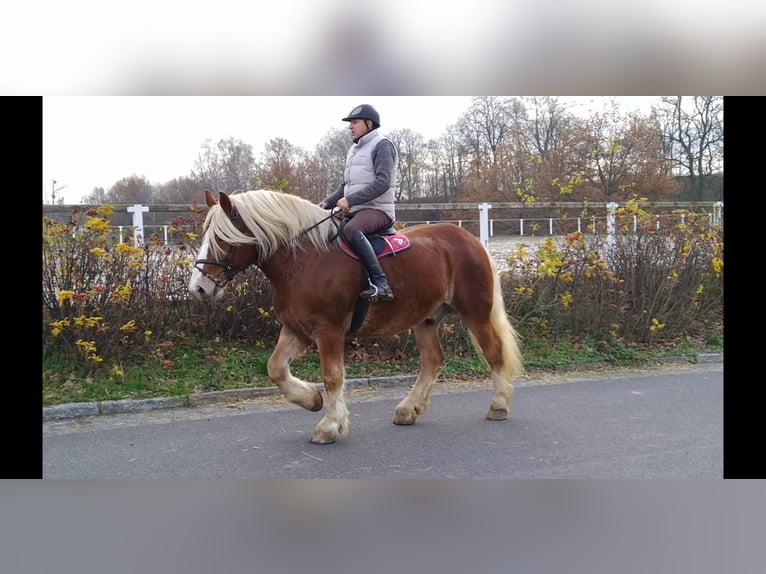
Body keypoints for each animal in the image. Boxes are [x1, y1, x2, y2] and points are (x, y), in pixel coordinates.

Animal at [190, 189, 528, 446]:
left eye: (223, 238)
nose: (199, 288)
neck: (304, 260)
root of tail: (469, 239)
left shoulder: (328, 330)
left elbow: (333, 376)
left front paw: (330, 426)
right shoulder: (296, 329)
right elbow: (276, 369)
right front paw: (312, 400)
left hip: (475, 312)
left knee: (493, 352)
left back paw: (499, 405)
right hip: (426, 319)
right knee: (433, 360)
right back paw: (409, 409)